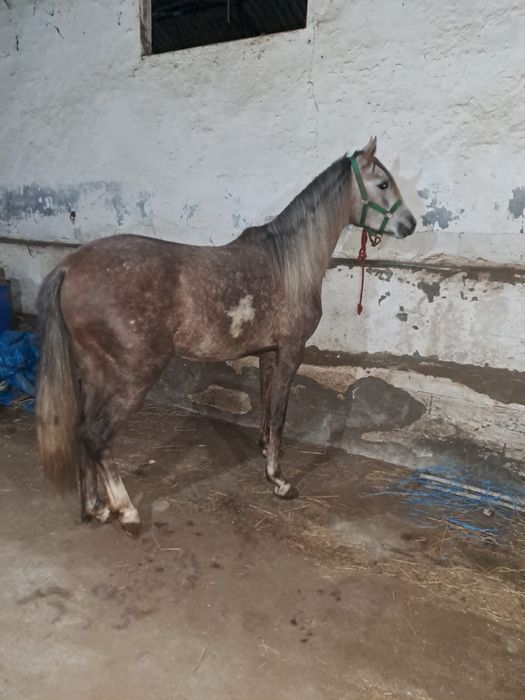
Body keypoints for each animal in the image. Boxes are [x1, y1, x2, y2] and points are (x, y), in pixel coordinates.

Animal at [36, 138, 416, 535]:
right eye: (383, 184)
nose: (410, 224)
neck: (289, 262)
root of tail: (69, 267)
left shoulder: (268, 352)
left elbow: (266, 404)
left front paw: (265, 451)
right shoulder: (291, 350)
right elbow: (280, 413)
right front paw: (279, 480)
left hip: (94, 373)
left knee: (82, 432)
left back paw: (94, 507)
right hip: (132, 375)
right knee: (97, 436)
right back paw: (126, 511)